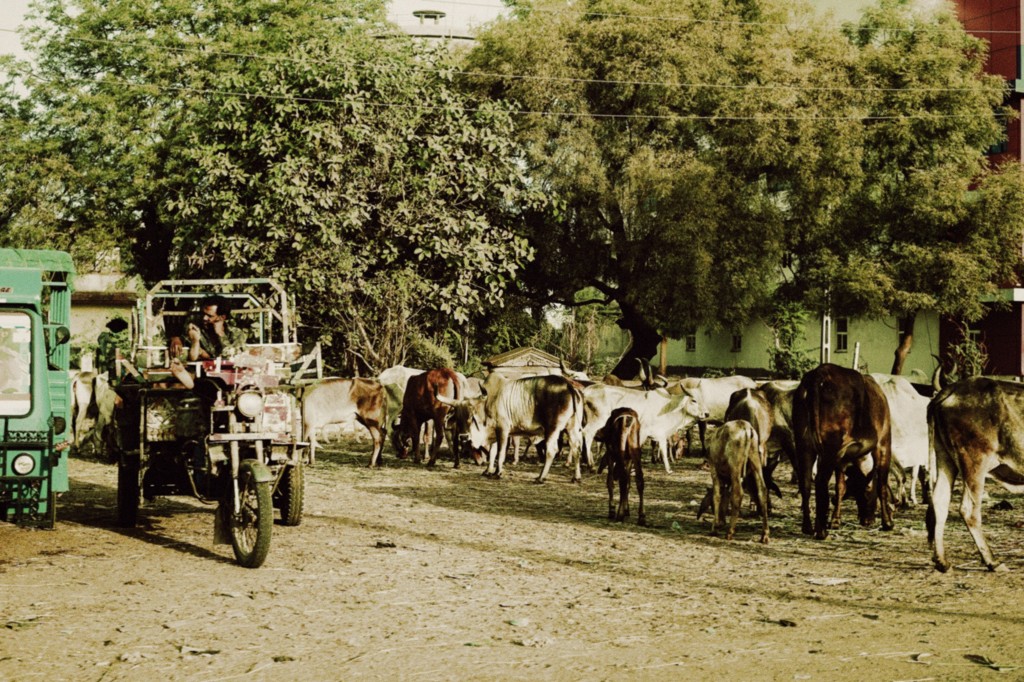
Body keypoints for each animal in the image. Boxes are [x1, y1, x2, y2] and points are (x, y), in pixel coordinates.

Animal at [786, 364, 892, 540]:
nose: (866, 520)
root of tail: (820, 372)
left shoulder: (841, 459)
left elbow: (840, 486)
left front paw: (835, 520)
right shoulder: (883, 444)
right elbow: (882, 486)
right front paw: (888, 522)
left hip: (804, 445)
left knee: (806, 483)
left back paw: (808, 527)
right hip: (829, 448)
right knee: (820, 481)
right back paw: (821, 530)